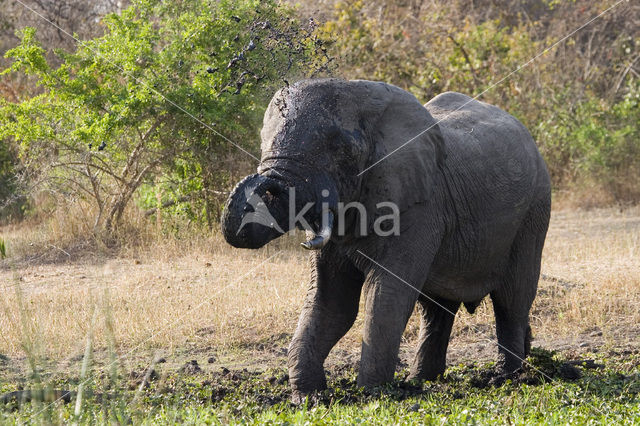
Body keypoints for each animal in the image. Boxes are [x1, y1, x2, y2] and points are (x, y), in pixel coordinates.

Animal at [220, 78, 552, 402]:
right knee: (436, 311)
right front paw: (309, 397)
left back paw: (506, 377)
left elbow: (386, 293)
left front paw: (371, 393)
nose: (263, 181)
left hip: (534, 211)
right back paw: (421, 381)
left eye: (341, 149)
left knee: (512, 298)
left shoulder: (419, 208)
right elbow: (331, 300)